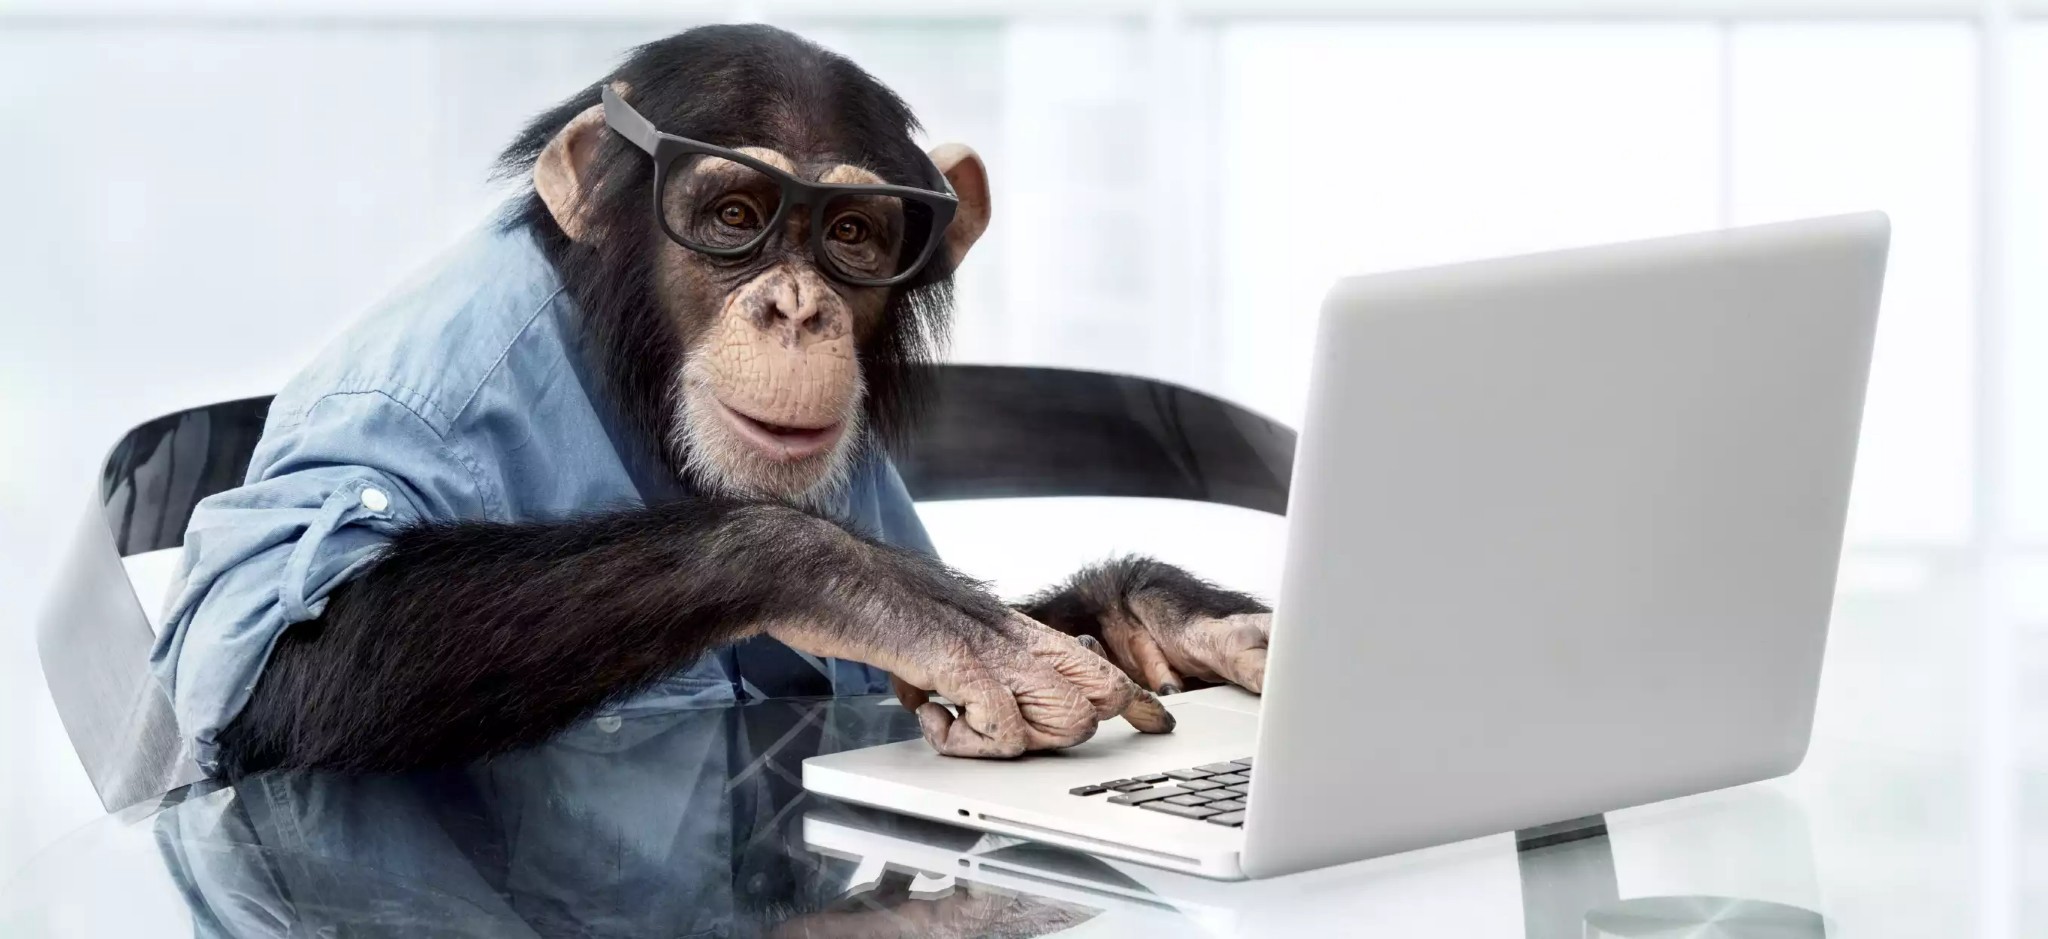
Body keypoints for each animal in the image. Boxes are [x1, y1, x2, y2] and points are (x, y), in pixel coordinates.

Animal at [153, 24, 1274, 780]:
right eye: (735, 216)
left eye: (854, 235)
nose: (797, 307)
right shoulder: (419, 388)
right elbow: (281, 648)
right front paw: (892, 597)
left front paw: (1164, 614)